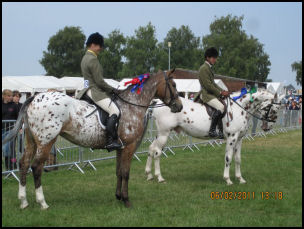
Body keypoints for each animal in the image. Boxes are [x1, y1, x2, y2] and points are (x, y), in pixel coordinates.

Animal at [3, 69, 183, 209]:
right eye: (173, 85)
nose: (179, 106)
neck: (132, 105)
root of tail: (35, 98)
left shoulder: (120, 148)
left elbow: (118, 171)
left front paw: (118, 196)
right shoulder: (129, 147)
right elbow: (125, 173)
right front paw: (126, 200)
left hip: (31, 141)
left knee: (24, 164)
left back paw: (24, 202)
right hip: (46, 141)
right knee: (36, 167)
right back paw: (42, 203)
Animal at [145, 88, 282, 185]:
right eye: (274, 109)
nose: (268, 127)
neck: (239, 109)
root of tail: (158, 101)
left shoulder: (239, 139)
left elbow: (238, 158)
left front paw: (240, 179)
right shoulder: (232, 138)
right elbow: (228, 158)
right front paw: (228, 179)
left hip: (160, 134)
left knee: (151, 149)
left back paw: (149, 175)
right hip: (164, 133)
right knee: (157, 152)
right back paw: (160, 177)